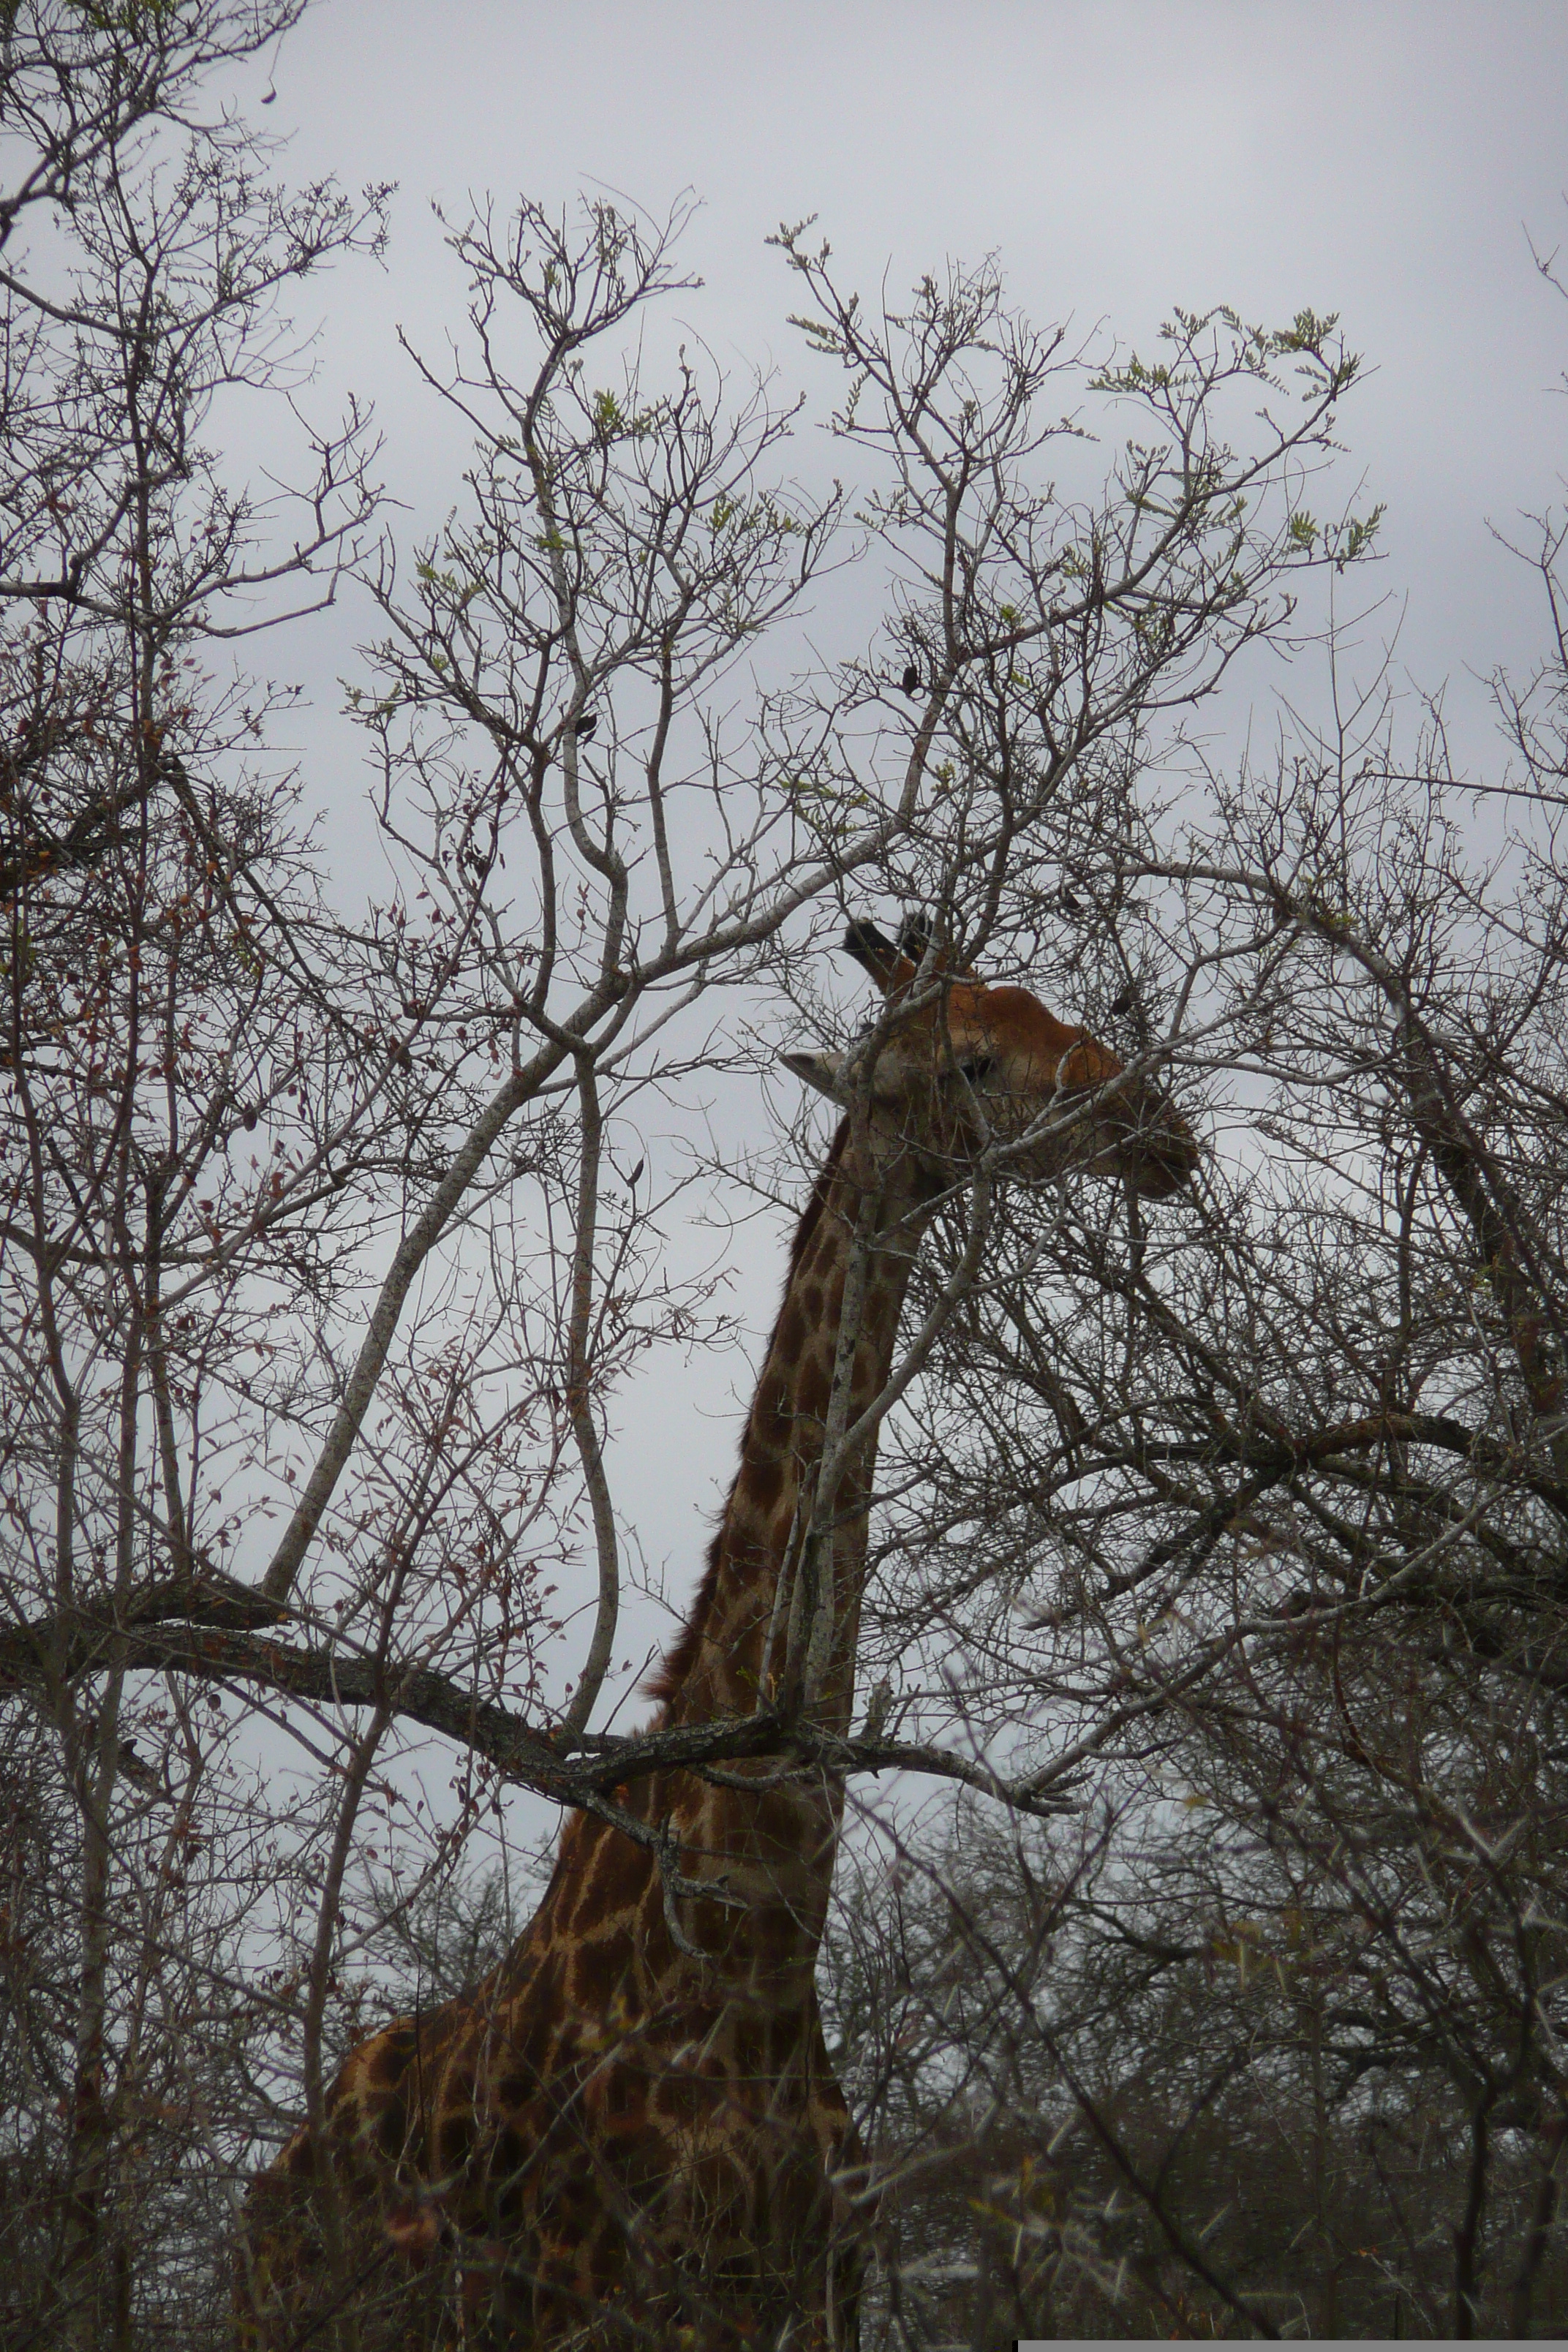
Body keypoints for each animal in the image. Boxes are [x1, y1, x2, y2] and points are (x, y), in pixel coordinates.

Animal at [233, 917, 1194, 2352]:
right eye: (970, 1059)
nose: (1159, 1130)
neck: (760, 1956)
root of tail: (262, 2195)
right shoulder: (620, 2303)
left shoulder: (815, 2292)